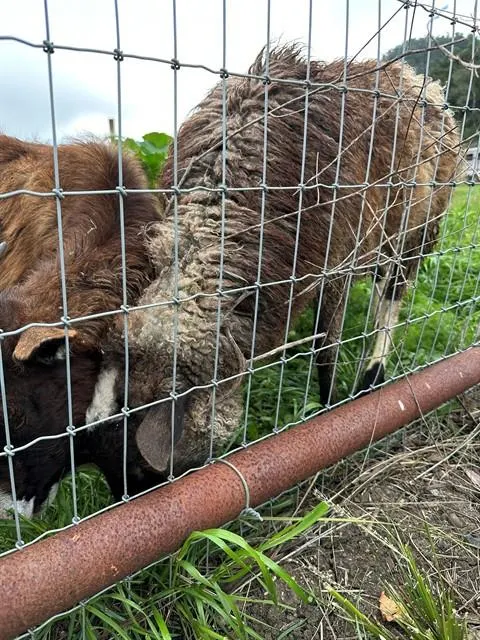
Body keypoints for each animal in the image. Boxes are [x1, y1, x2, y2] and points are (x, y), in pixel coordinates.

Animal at [86, 45, 462, 496]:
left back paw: (372, 375)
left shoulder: (335, 259)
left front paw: (331, 411)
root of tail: (420, 79)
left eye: (144, 470)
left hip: (419, 230)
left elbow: (326, 346)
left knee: (392, 295)